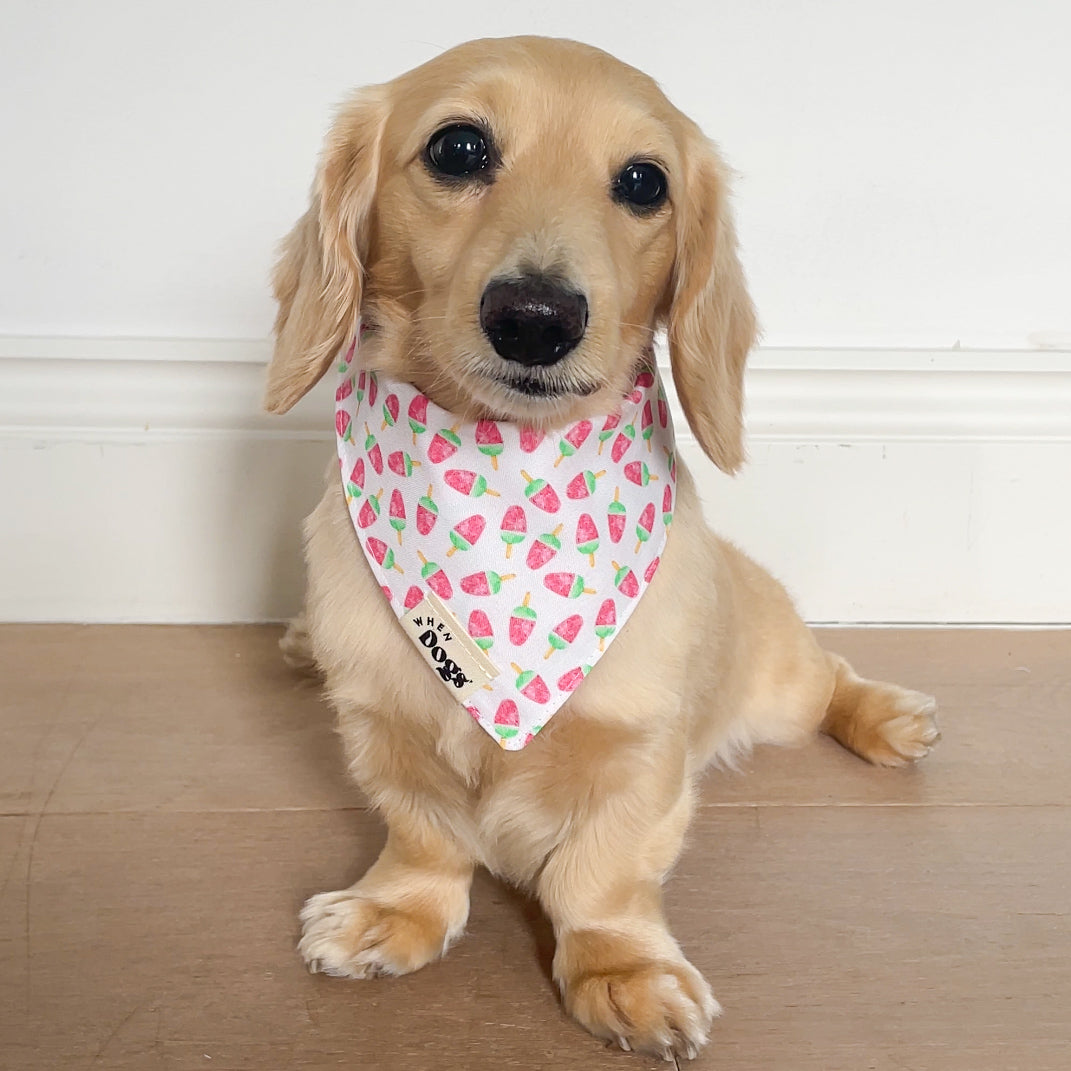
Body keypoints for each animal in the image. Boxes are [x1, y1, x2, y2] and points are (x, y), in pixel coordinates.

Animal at [265, 35, 938, 1062]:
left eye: (643, 181)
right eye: (458, 148)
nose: (535, 318)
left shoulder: (641, 759)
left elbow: (600, 875)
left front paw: (621, 970)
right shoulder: (382, 727)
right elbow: (423, 836)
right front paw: (396, 910)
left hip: (782, 679)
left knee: (831, 678)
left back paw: (888, 717)